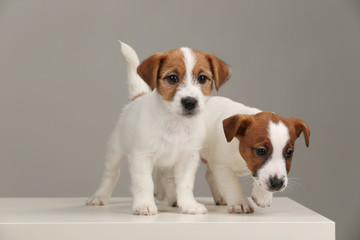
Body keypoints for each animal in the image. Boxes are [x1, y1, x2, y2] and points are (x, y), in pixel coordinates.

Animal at [86, 41, 229, 216]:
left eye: (202, 78)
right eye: (172, 78)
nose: (190, 102)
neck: (175, 123)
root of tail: (137, 97)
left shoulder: (188, 159)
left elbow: (185, 184)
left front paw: (189, 204)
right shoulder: (142, 157)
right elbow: (145, 183)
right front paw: (144, 205)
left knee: (166, 178)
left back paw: (173, 198)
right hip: (115, 153)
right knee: (110, 175)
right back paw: (100, 197)